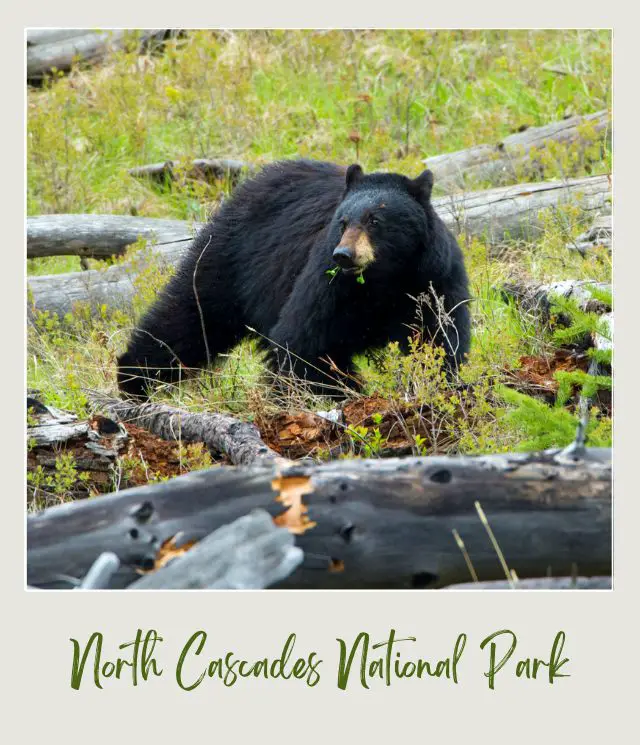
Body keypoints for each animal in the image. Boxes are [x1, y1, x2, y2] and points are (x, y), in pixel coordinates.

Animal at [119, 160, 470, 398]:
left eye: (375, 220)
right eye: (342, 222)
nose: (344, 255)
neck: (384, 279)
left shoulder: (434, 279)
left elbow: (440, 339)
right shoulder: (328, 283)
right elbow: (303, 341)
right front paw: (344, 392)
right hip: (228, 259)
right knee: (189, 317)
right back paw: (132, 379)